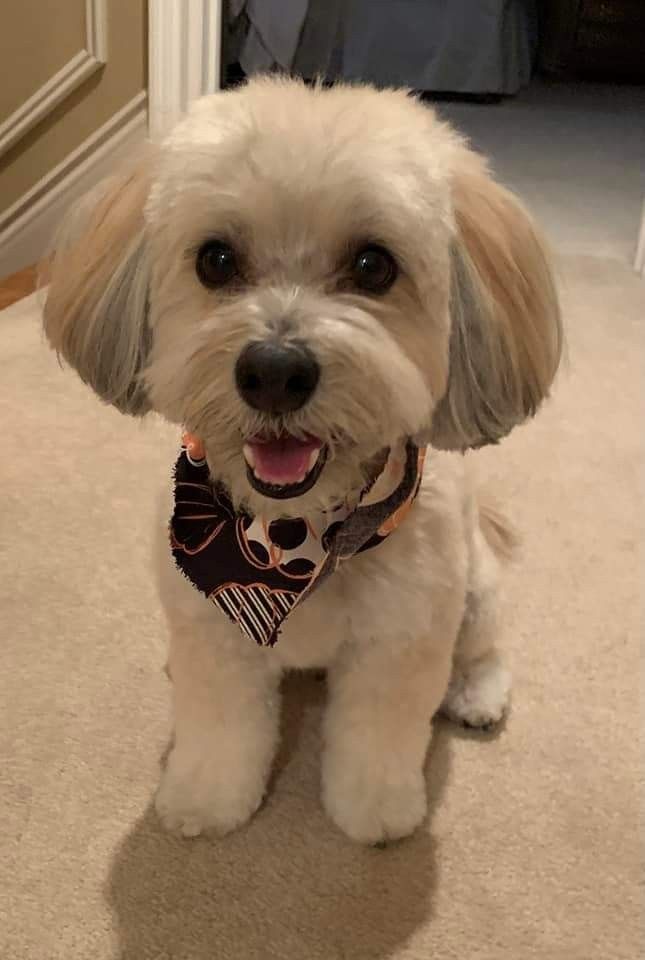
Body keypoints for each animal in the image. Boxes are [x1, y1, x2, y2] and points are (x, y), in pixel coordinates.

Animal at [44, 77, 560, 840]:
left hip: (475, 591)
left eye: (374, 265)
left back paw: (476, 692)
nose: (274, 372)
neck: (294, 534)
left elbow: (377, 739)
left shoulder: (397, 644)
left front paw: (375, 812)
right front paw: (205, 799)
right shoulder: (214, 635)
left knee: (485, 646)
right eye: (215, 260)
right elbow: (219, 728)